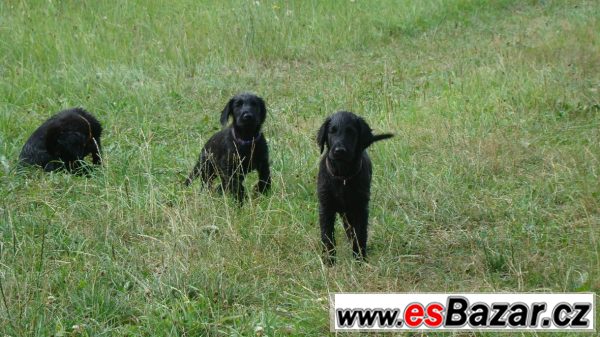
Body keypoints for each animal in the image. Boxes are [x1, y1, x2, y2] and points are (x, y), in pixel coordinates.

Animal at [314, 111, 394, 264]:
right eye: (332, 131)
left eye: (351, 132)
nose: (339, 151)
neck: (343, 176)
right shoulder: (326, 207)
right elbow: (327, 236)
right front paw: (329, 262)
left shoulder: (360, 208)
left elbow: (360, 234)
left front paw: (360, 260)